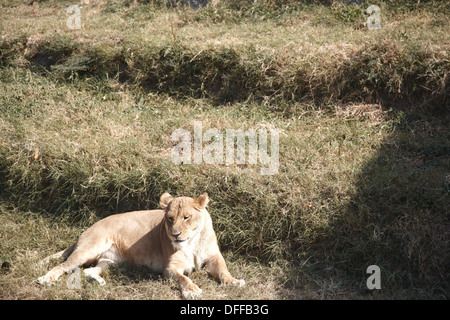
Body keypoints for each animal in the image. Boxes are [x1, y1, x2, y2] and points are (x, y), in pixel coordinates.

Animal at [37, 192, 244, 300]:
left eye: (186, 217)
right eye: (170, 219)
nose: (175, 234)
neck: (192, 241)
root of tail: (89, 228)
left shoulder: (214, 257)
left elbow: (224, 270)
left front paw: (233, 281)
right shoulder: (170, 268)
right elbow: (183, 278)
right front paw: (191, 290)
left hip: (110, 262)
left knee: (89, 270)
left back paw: (100, 282)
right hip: (87, 250)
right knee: (63, 266)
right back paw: (45, 279)